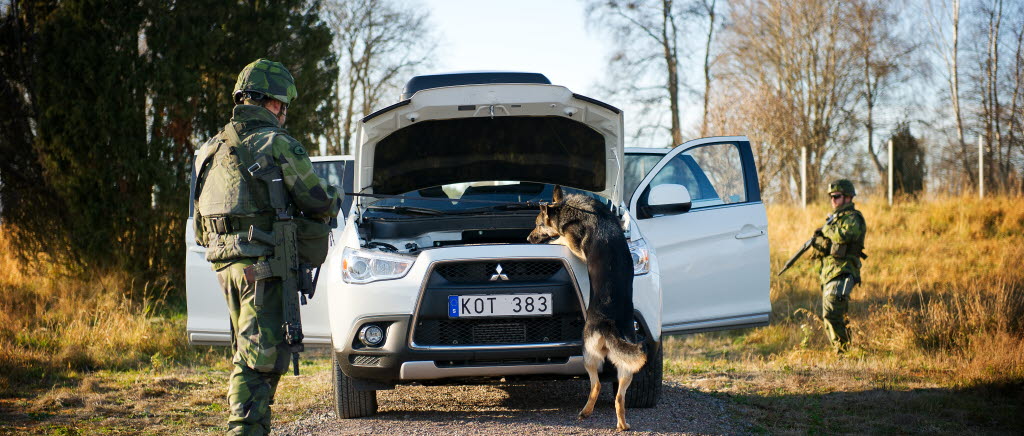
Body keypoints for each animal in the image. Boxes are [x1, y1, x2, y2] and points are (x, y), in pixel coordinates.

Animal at [528, 185, 647, 431]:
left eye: (538, 224)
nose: (527, 238)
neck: (568, 207)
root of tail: (608, 326)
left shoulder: (574, 246)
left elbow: (562, 239)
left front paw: (553, 240)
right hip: (626, 367)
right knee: (619, 397)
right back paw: (622, 424)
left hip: (588, 356)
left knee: (597, 385)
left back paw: (584, 413)